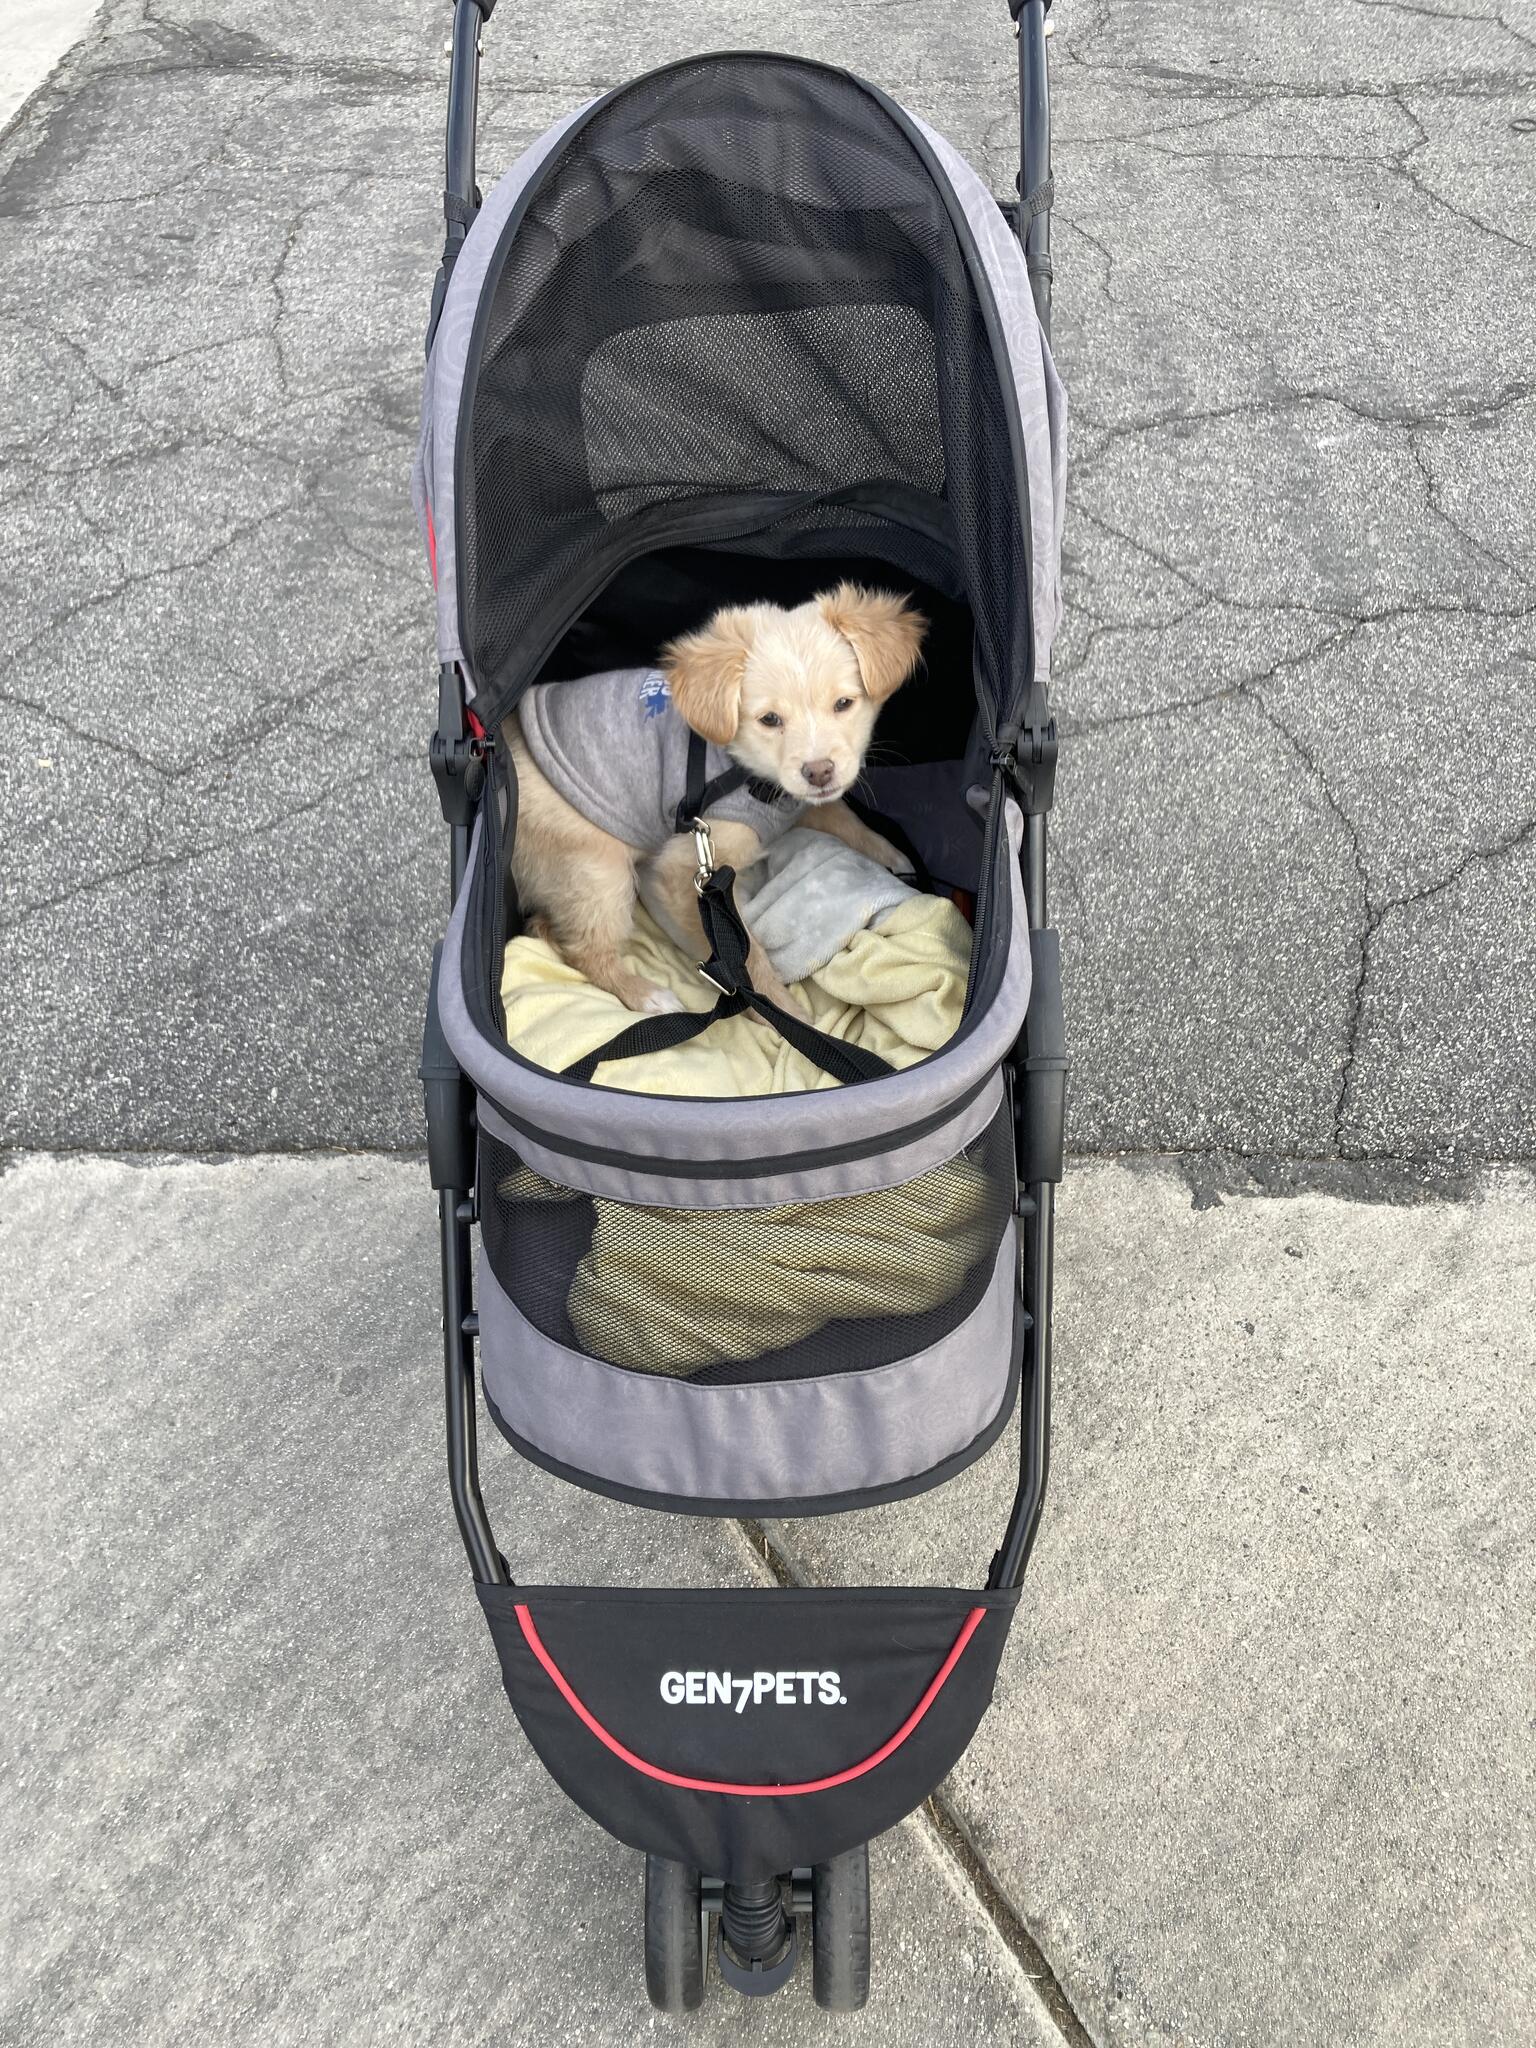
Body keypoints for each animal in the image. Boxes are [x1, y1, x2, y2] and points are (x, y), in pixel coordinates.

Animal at [512, 581, 933, 1019]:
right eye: (770, 720)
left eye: (844, 704)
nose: (819, 772)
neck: (749, 775)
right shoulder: (687, 871)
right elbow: (746, 958)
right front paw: (783, 1014)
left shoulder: (793, 801)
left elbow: (843, 816)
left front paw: (889, 854)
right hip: (599, 872)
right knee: (583, 949)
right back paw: (646, 994)